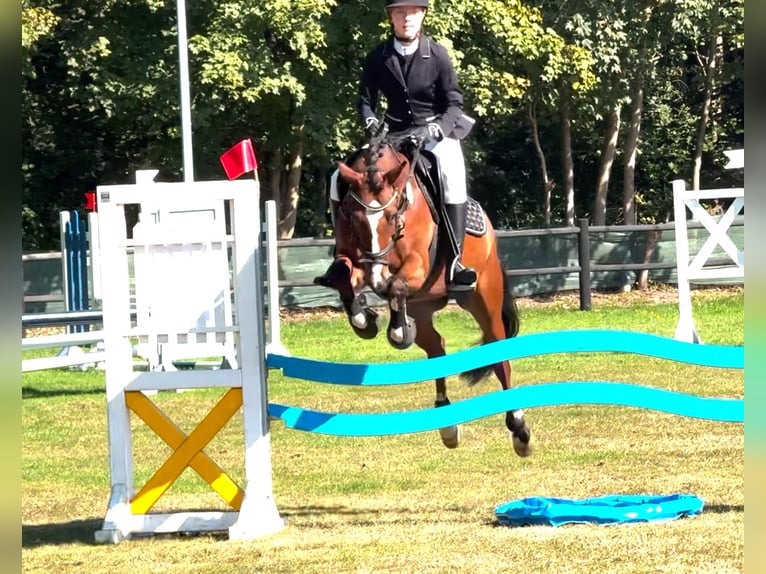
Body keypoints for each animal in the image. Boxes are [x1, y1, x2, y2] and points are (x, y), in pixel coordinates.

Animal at [316, 130, 532, 460]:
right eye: (353, 217)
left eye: (392, 215)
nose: (376, 275)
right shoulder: (356, 258)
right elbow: (344, 277)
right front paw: (365, 320)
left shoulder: (415, 265)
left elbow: (395, 286)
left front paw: (396, 330)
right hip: (424, 305)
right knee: (437, 349)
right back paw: (447, 425)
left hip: (484, 298)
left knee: (499, 353)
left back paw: (519, 428)